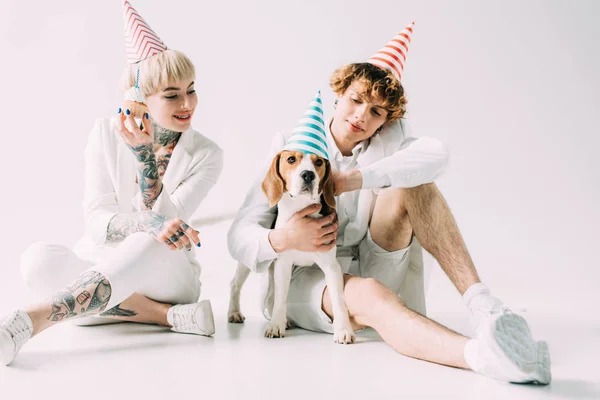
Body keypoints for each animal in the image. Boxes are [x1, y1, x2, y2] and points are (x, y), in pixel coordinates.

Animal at [227, 150, 354, 344]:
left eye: (318, 162)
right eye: (291, 159)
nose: (308, 175)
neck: (301, 208)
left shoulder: (331, 266)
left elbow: (338, 299)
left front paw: (343, 330)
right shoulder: (284, 264)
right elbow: (281, 297)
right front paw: (275, 325)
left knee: (270, 295)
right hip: (250, 260)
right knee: (236, 284)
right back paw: (234, 312)